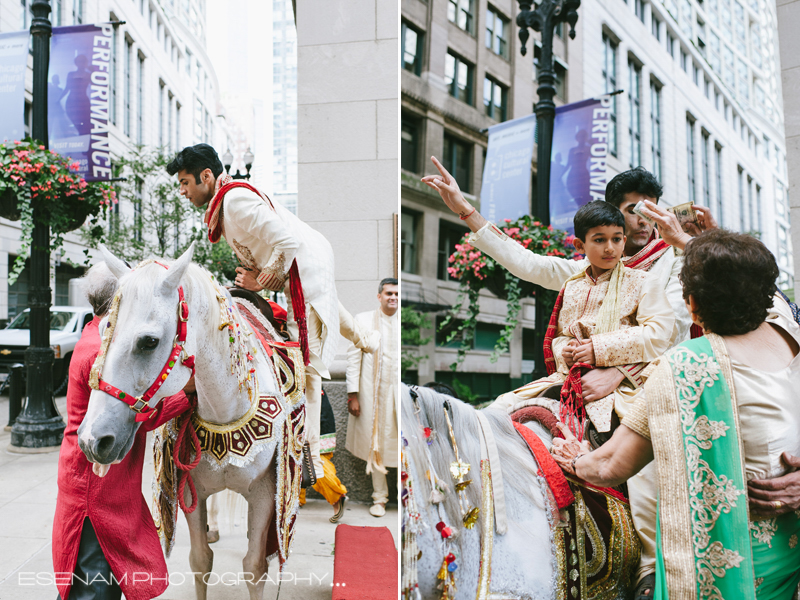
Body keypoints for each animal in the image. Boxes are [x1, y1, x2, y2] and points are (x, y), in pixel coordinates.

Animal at [79, 245, 302, 600]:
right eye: (103, 332)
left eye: (149, 342)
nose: (92, 440)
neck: (224, 409)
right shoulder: (188, 491)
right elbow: (200, 560)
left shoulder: (265, 494)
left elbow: (255, 567)